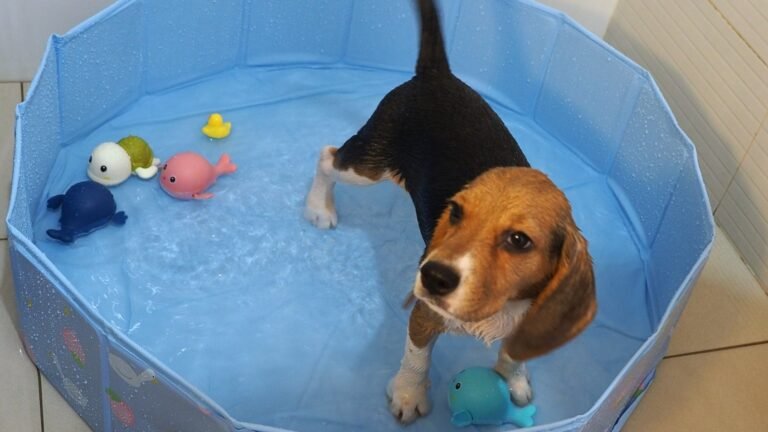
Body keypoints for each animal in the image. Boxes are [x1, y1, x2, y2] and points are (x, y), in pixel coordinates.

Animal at [304, 0, 596, 426]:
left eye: (519, 240)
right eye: (455, 213)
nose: (432, 276)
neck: (497, 304)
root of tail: (436, 75)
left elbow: (513, 352)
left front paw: (514, 378)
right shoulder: (424, 314)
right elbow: (417, 357)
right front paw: (408, 394)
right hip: (369, 163)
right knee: (327, 158)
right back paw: (318, 207)